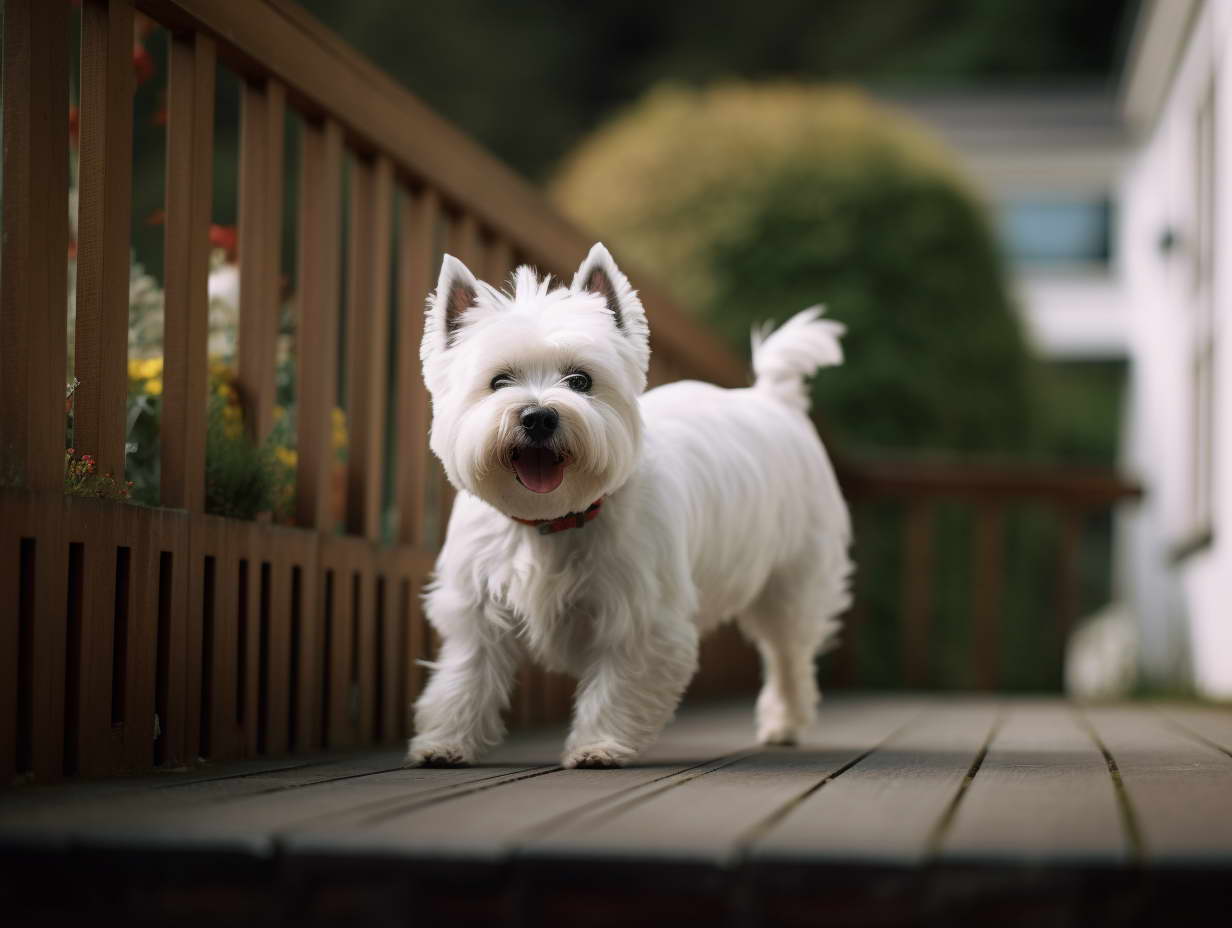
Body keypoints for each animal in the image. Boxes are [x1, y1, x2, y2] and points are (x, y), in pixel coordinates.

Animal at [404, 240, 847, 769]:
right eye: (498, 381)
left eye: (580, 381)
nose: (538, 417)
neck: (553, 520)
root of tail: (775, 401)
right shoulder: (476, 608)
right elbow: (464, 677)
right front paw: (444, 743)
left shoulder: (641, 614)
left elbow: (616, 686)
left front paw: (598, 746)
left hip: (790, 581)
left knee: (788, 653)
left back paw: (784, 724)